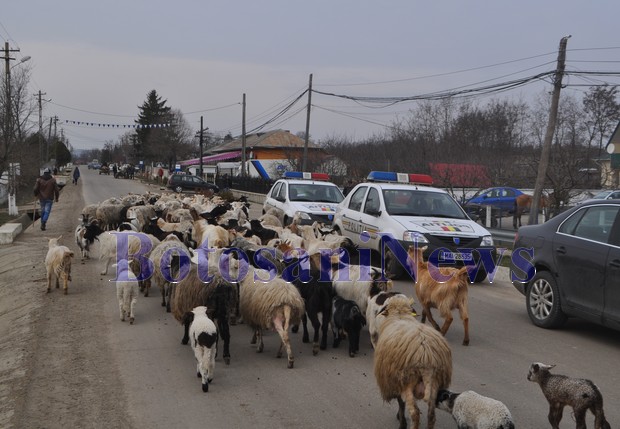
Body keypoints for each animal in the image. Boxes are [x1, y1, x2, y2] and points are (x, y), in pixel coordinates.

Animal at [370, 294, 452, 428]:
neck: (400, 315)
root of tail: (426, 358)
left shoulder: (396, 380)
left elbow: (400, 402)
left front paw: (401, 419)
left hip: (408, 380)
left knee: (415, 412)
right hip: (434, 382)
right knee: (431, 415)